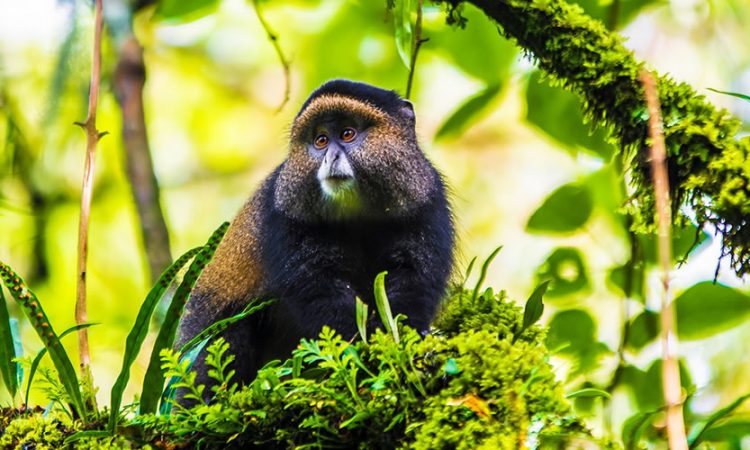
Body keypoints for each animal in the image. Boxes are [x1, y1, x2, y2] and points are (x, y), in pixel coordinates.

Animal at [175, 79, 455, 393]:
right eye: (320, 140)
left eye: (347, 134)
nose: (330, 157)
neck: (358, 216)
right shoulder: (286, 217)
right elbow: (318, 289)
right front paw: (358, 349)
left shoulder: (426, 205)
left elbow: (413, 277)